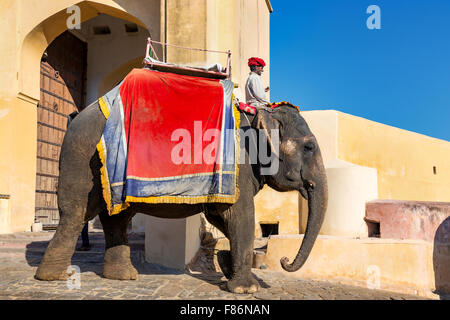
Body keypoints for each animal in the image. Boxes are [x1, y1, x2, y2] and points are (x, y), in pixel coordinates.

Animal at [35, 98, 326, 296]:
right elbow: (240, 216)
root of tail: (76, 116)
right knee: (75, 213)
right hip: (82, 157)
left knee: (115, 218)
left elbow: (219, 216)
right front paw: (246, 289)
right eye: (309, 147)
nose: (284, 260)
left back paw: (123, 277)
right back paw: (54, 277)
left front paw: (225, 264)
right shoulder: (237, 165)